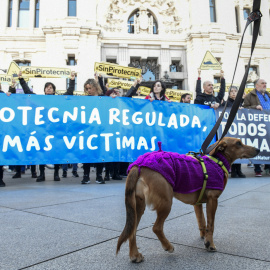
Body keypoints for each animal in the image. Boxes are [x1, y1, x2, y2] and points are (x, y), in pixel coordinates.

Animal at [116, 137, 260, 262]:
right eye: (238, 143)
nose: (258, 149)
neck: (218, 161)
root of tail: (138, 164)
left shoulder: (198, 204)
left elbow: (202, 222)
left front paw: (204, 238)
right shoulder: (213, 200)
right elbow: (211, 225)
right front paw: (210, 244)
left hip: (138, 207)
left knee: (132, 231)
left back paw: (134, 255)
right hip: (166, 202)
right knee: (156, 228)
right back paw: (168, 246)